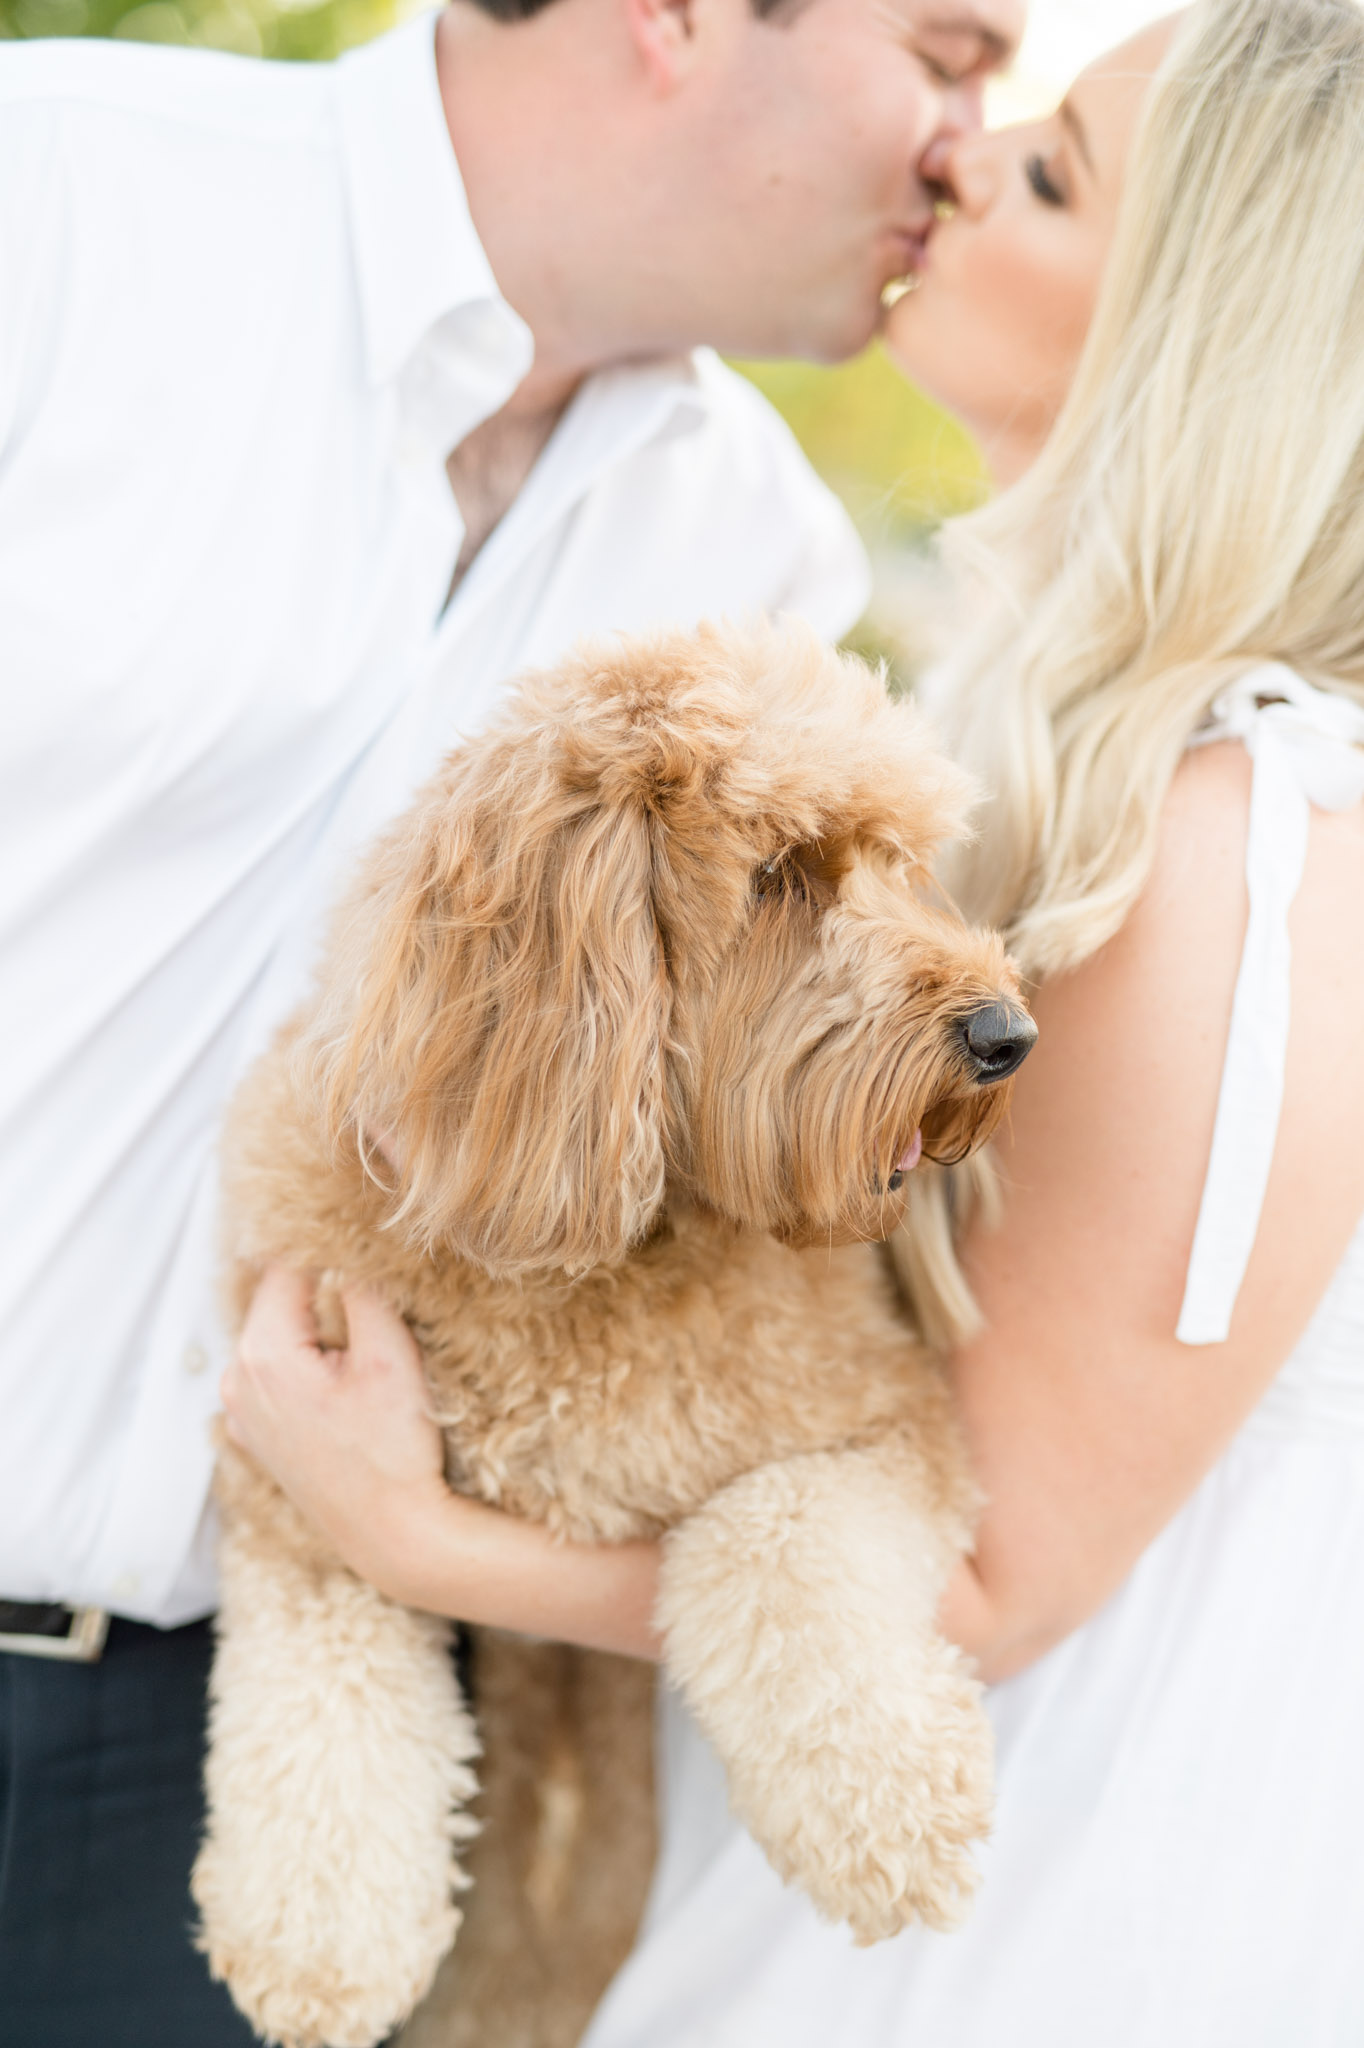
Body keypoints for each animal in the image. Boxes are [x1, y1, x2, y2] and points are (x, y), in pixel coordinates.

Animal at [193, 618, 1032, 2048]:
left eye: (903, 862)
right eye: (780, 874)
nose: (1006, 1033)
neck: (614, 1242)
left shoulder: (884, 1421)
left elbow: (773, 1536)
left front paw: (883, 1811)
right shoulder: (297, 1479)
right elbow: (326, 1687)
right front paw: (318, 1940)